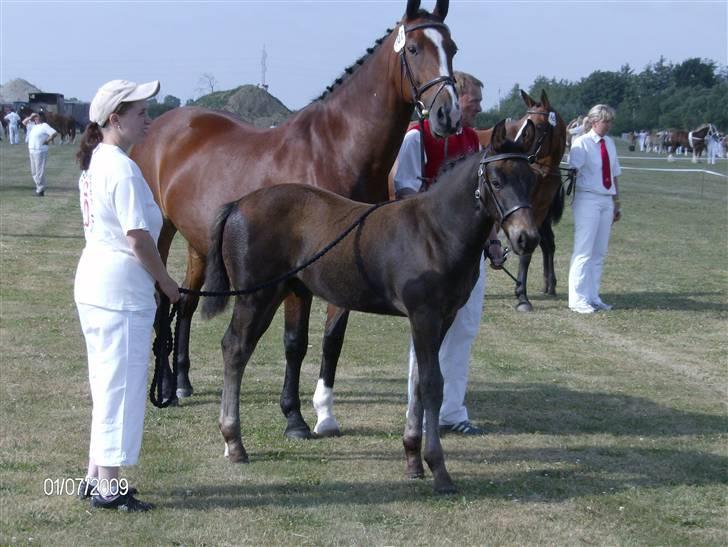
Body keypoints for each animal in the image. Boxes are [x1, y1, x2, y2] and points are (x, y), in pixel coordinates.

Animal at [131, 0, 460, 436]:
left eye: (452, 48)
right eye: (414, 49)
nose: (447, 115)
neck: (334, 150)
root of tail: (162, 126)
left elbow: (332, 340)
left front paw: (326, 414)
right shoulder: (296, 277)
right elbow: (295, 342)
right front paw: (294, 417)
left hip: (199, 245)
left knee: (183, 303)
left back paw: (182, 381)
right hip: (160, 235)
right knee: (160, 301)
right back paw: (166, 386)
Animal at [202, 121, 536, 496]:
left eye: (532, 180)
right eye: (497, 181)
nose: (526, 238)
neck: (435, 232)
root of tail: (238, 203)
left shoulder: (443, 317)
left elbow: (418, 383)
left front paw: (412, 460)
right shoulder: (424, 315)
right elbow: (432, 383)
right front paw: (439, 470)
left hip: (277, 292)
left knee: (237, 348)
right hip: (256, 296)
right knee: (235, 349)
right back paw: (234, 443)